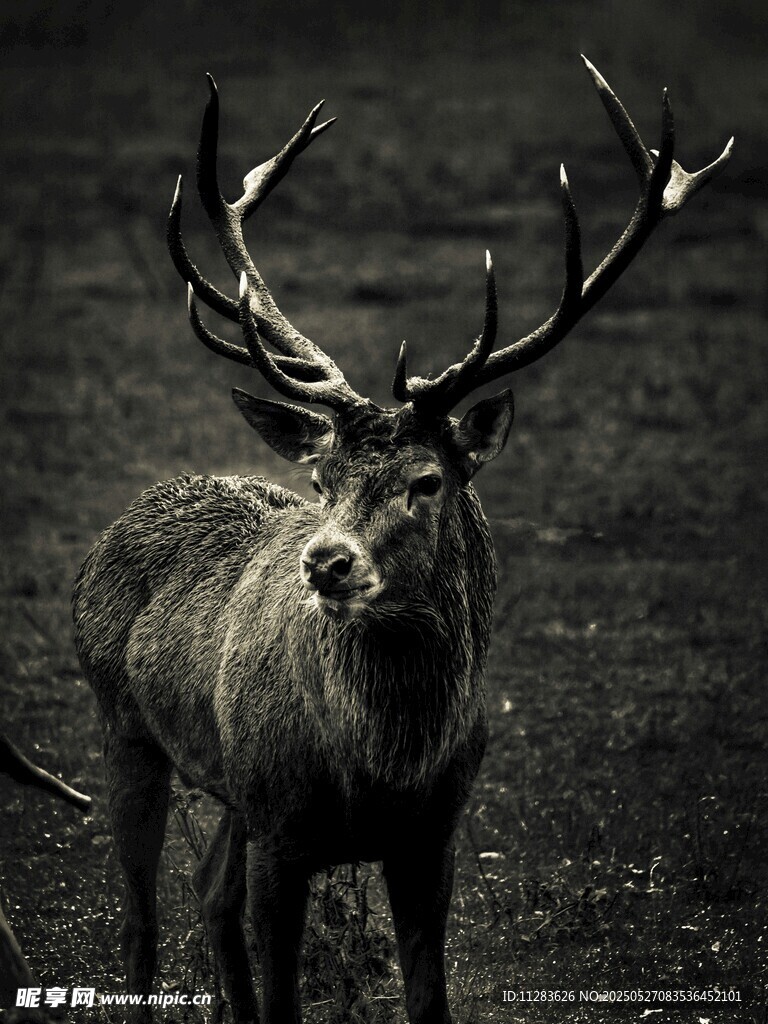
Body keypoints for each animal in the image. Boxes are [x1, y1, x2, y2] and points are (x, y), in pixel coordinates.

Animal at [72, 57, 731, 1024]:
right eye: (321, 482)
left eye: (427, 481)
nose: (324, 561)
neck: (380, 769)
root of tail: (110, 532)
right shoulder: (283, 831)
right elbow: (282, 992)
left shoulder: (432, 836)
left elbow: (430, 998)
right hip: (122, 725)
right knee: (139, 922)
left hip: (228, 784)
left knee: (207, 890)